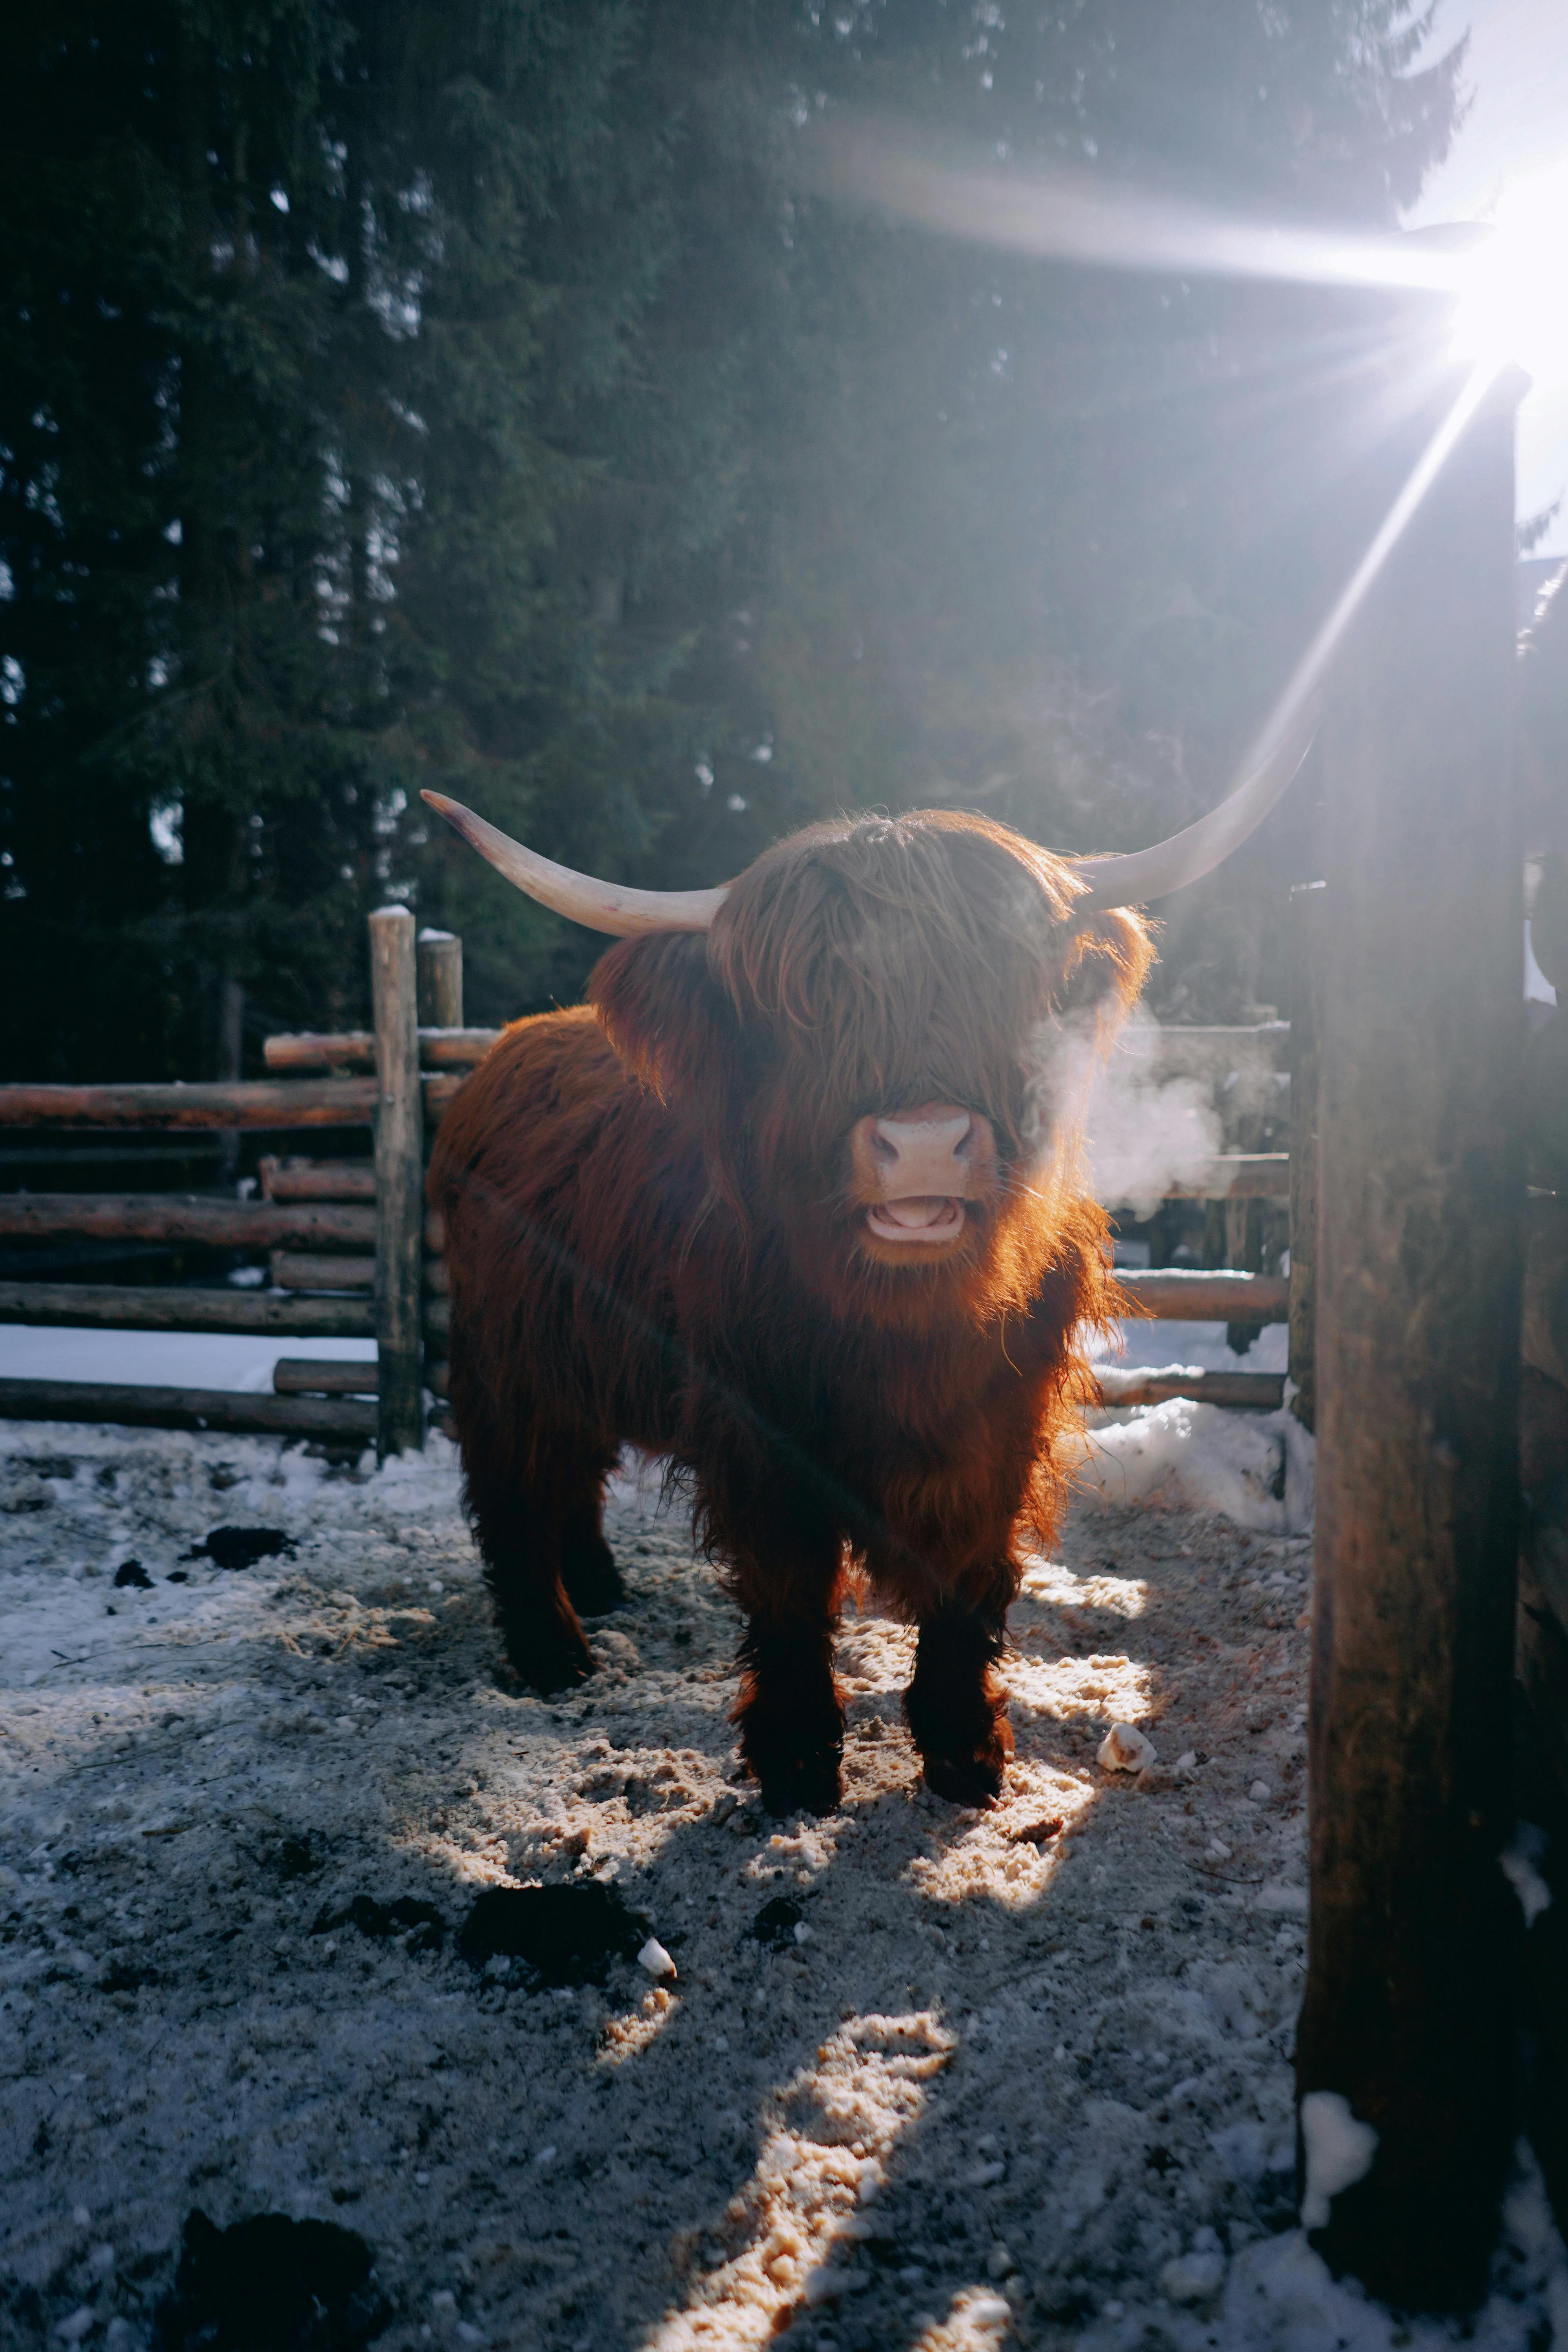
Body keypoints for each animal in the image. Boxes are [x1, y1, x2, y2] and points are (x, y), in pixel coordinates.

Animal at [424, 722, 1311, 1816]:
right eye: (802, 1009)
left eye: (1002, 991)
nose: (922, 1142)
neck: (902, 1332)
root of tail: (509, 1048)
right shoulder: (757, 1423)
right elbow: (790, 1585)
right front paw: (799, 1762)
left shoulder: (1007, 1413)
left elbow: (970, 1573)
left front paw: (964, 1752)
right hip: (503, 1351)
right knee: (512, 1483)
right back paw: (555, 1652)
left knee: (574, 1467)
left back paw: (599, 1586)